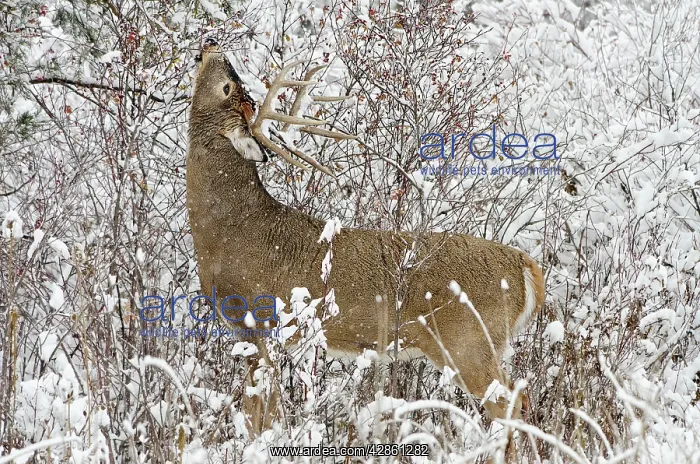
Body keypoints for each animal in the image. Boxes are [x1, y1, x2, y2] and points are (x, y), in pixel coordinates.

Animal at [186, 40, 545, 439]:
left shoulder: (260, 327)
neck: (228, 231)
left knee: (510, 404)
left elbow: (260, 416)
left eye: (226, 88)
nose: (210, 45)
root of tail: (525, 266)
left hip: (470, 341)